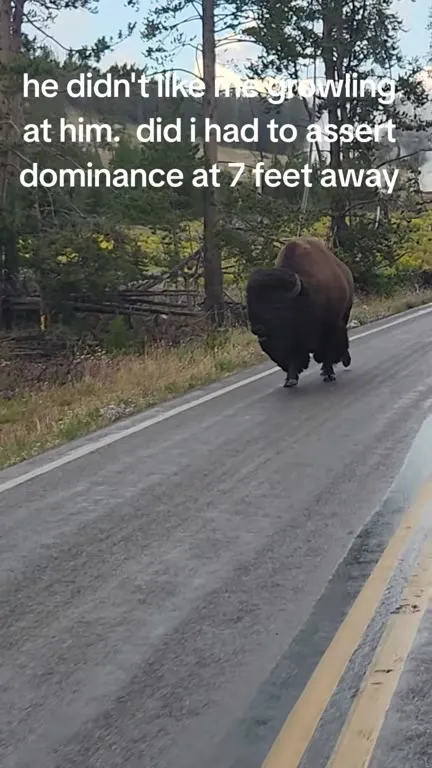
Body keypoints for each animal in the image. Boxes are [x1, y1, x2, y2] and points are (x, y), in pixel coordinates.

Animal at [246, 236, 354, 387]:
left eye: (276, 305)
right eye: (250, 305)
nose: (257, 329)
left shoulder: (330, 329)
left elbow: (327, 352)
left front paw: (328, 373)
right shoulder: (291, 341)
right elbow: (292, 357)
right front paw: (290, 380)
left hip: (345, 314)